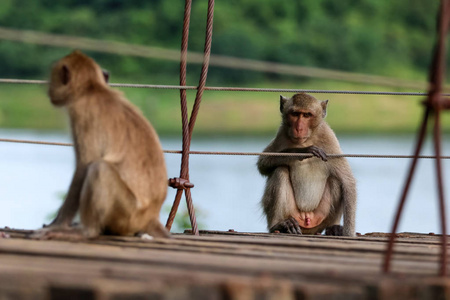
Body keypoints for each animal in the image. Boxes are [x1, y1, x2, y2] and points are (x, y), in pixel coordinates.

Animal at [37, 51, 169, 239]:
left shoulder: (82, 114)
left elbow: (84, 166)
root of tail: (151, 217)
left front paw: (57, 224)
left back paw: (86, 231)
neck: (92, 89)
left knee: (99, 168)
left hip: (127, 215)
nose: (49, 90)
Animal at [256, 93, 358, 237]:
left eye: (306, 115)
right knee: (280, 171)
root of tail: (307, 217)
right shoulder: (281, 134)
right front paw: (301, 151)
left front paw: (349, 234)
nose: (298, 128)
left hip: (320, 218)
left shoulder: (329, 139)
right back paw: (279, 225)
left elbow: (347, 181)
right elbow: (263, 163)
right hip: (292, 214)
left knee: (336, 180)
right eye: (295, 114)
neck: (307, 139)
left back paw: (333, 227)